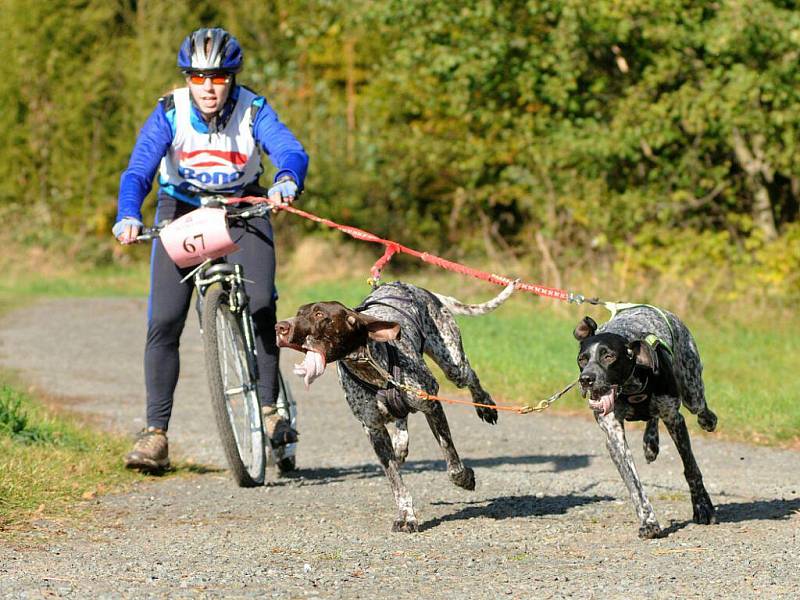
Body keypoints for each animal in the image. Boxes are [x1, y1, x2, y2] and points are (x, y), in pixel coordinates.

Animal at [576, 304, 720, 540]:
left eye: (609, 356)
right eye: (582, 359)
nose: (586, 379)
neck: (632, 386)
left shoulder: (674, 419)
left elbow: (691, 469)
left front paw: (702, 506)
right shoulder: (614, 437)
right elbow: (634, 484)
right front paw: (649, 522)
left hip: (692, 392)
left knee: (698, 408)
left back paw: (707, 419)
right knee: (652, 418)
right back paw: (650, 444)